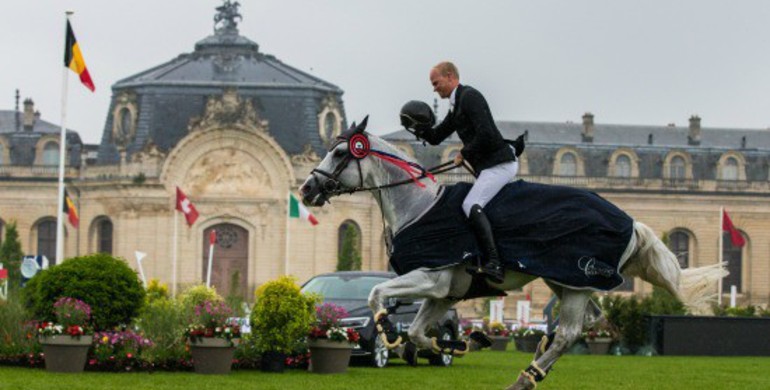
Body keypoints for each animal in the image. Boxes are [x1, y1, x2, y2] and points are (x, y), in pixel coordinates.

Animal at [302, 119, 728, 390]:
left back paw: (527, 377)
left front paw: (388, 330)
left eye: (339, 152)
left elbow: (378, 294)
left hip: (575, 280)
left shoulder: (432, 277)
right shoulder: (445, 294)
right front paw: (465, 343)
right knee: (589, 321)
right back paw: (537, 355)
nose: (307, 190)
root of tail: (631, 219)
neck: (417, 207)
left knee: (571, 332)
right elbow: (422, 333)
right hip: (565, 281)